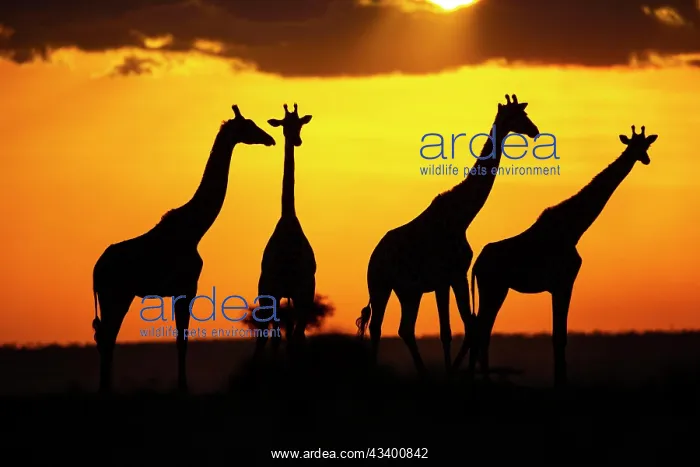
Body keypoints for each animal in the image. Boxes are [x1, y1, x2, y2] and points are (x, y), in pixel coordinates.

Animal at [91, 105, 275, 393]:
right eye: (248, 125)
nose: (270, 139)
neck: (196, 229)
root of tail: (95, 270)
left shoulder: (180, 291)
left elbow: (181, 340)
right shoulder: (188, 288)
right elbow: (182, 341)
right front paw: (183, 388)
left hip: (115, 296)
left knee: (104, 338)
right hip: (116, 295)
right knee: (107, 338)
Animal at [356, 94, 542, 374]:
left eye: (525, 114)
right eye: (516, 116)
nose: (534, 131)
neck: (461, 218)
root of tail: (373, 256)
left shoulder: (458, 275)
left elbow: (470, 326)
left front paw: (458, 372)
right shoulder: (443, 278)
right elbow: (447, 332)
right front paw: (452, 372)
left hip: (408, 292)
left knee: (405, 329)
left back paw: (423, 374)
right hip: (380, 285)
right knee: (377, 327)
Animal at [460, 125, 658, 386]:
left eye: (646, 144)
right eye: (635, 145)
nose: (645, 159)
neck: (574, 228)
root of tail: (477, 265)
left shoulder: (558, 285)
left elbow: (558, 336)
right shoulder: (563, 282)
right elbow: (560, 337)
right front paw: (560, 382)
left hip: (496, 289)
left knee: (482, 331)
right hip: (494, 288)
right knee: (480, 331)